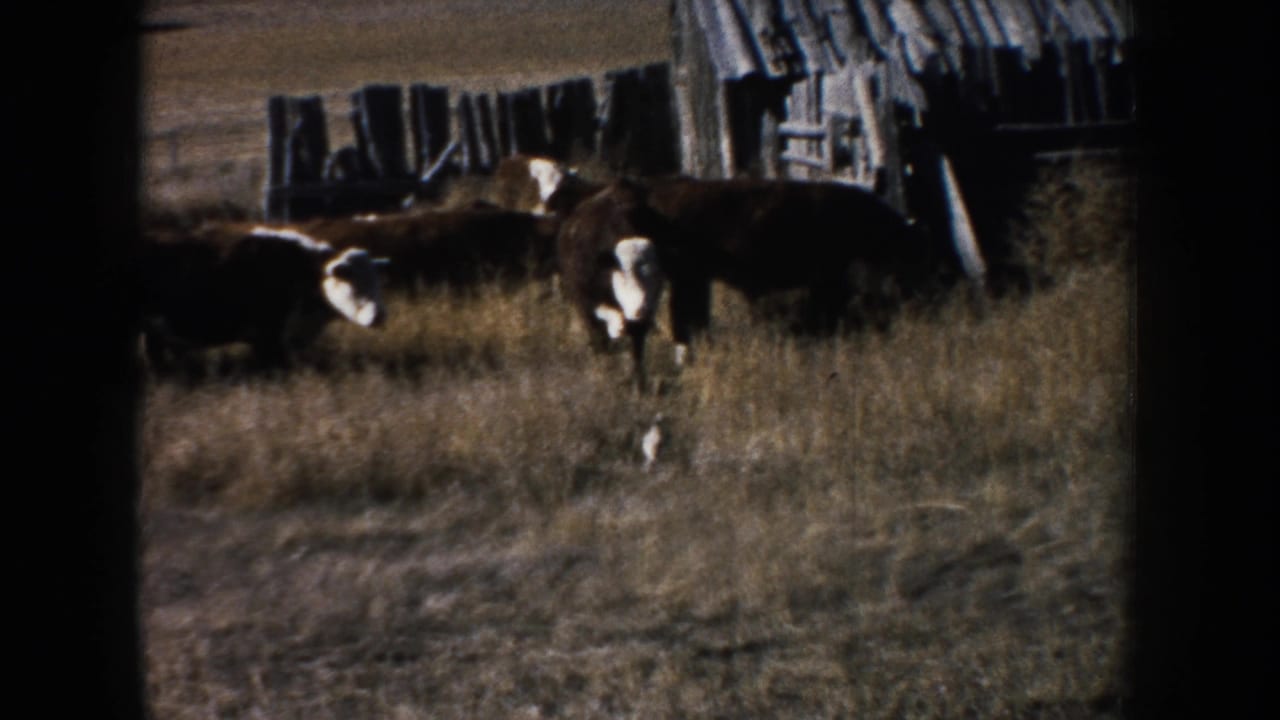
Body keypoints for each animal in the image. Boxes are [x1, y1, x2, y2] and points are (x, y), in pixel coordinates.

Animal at [556, 178, 669, 390]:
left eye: (655, 274)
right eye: (624, 274)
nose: (640, 308)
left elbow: (636, 350)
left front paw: (639, 384)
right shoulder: (586, 303)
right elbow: (600, 338)